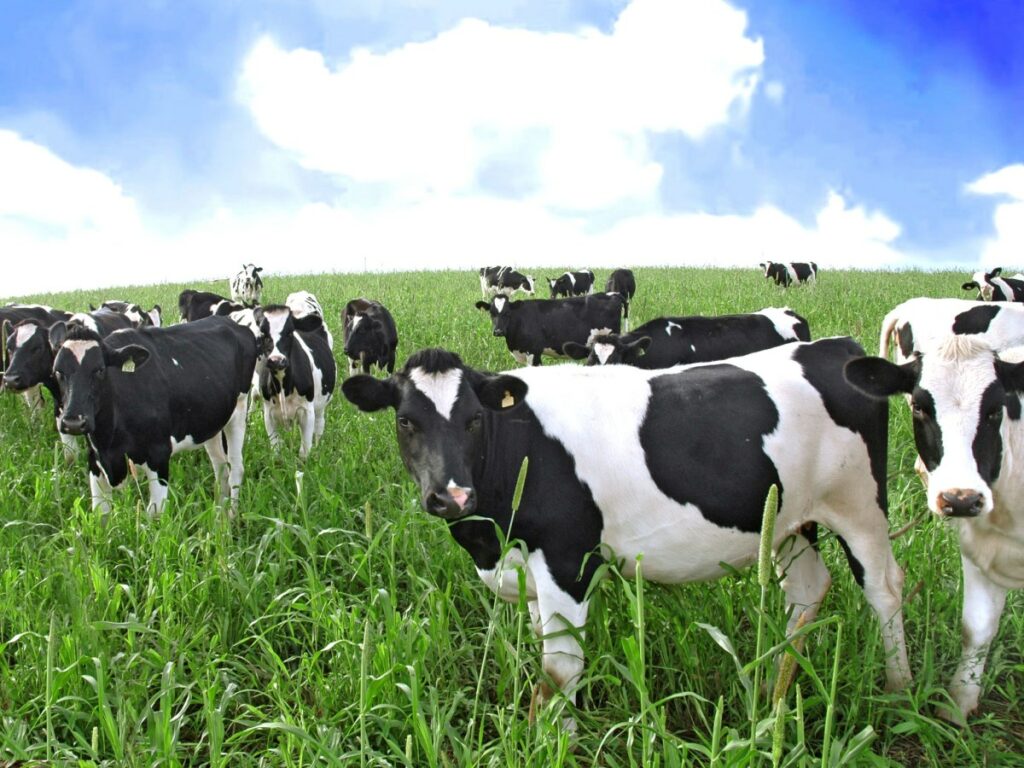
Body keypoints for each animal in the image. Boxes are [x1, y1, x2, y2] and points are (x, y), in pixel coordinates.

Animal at [49, 315, 256, 516]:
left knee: (236, 468)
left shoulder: (159, 455)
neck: (109, 441)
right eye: (58, 372)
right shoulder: (95, 460)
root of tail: (229, 321)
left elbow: (154, 513)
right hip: (210, 422)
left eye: (99, 370)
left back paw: (232, 516)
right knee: (220, 467)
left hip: (239, 410)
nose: (73, 422)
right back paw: (220, 512)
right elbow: (101, 514)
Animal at [252, 302, 336, 459]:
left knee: (319, 426)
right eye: (262, 333)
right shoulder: (268, 414)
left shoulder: (307, 411)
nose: (276, 360)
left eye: (290, 332)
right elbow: (276, 450)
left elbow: (304, 451)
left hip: (321, 405)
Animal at [341, 339, 912, 729]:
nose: (453, 497)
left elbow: (559, 670)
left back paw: (899, 689)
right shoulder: (529, 571)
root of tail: (832, 346)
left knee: (884, 588)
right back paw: (774, 689)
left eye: (475, 418)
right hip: (790, 519)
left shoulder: (567, 559)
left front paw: (553, 741)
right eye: (406, 421)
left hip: (859, 506)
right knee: (808, 588)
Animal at [846, 335, 1024, 723]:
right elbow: (976, 628)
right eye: (919, 408)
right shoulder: (980, 551)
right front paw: (958, 703)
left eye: (995, 411)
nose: (961, 499)